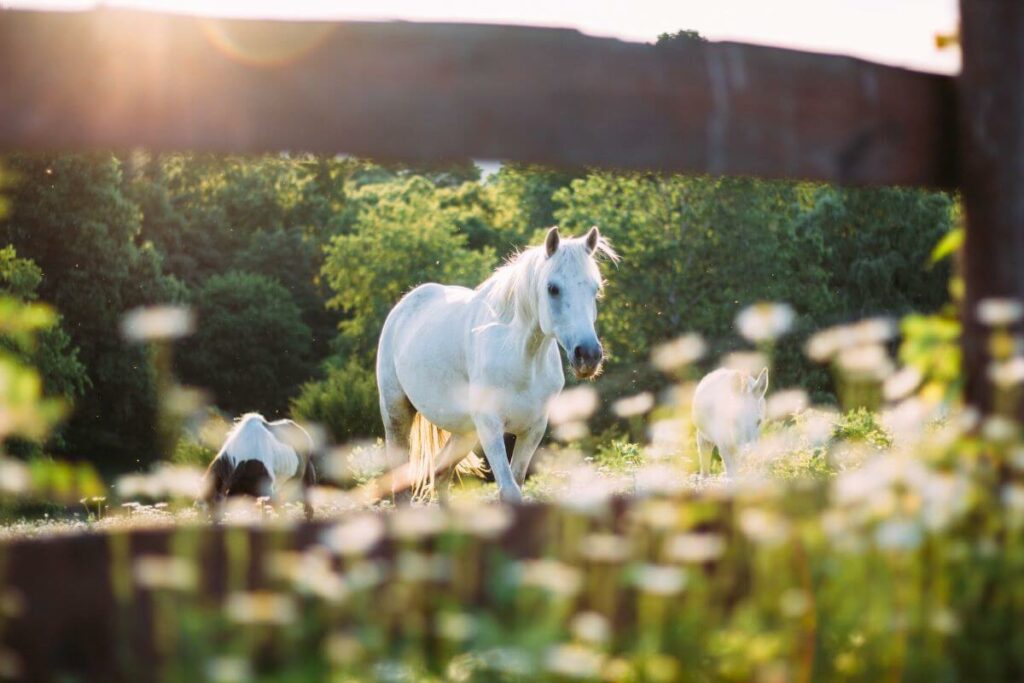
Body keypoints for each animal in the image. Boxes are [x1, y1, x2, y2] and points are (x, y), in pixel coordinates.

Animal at [376, 227, 614, 499]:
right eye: (553, 288)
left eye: (595, 289)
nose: (589, 355)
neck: (521, 361)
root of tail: (404, 305)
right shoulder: (491, 427)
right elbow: (509, 490)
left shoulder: (533, 429)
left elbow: (517, 482)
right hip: (396, 414)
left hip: (465, 432)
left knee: (441, 473)